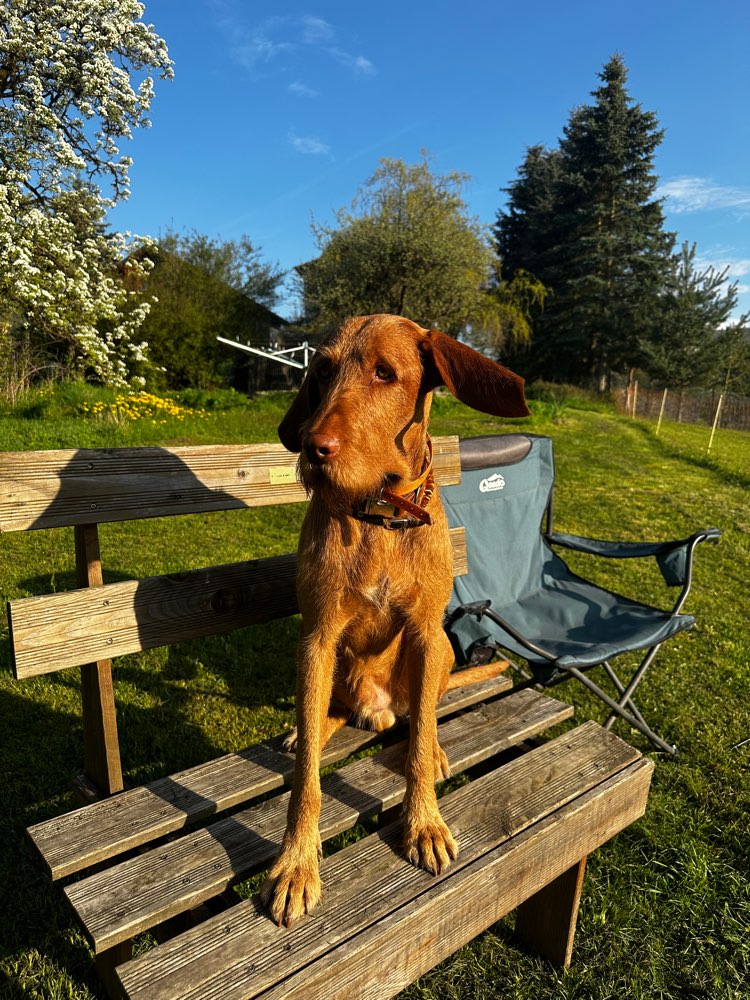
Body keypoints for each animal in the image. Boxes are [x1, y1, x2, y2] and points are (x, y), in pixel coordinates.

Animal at [262, 314, 532, 928]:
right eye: (322, 370)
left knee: (420, 716)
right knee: (328, 717)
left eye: (385, 373)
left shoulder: (428, 634)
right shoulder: (315, 639)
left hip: (443, 652)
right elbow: (306, 781)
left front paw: (423, 820)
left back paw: (430, 747)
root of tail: (376, 708)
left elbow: (419, 743)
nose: (313, 449)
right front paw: (296, 862)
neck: (380, 518)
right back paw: (306, 730)